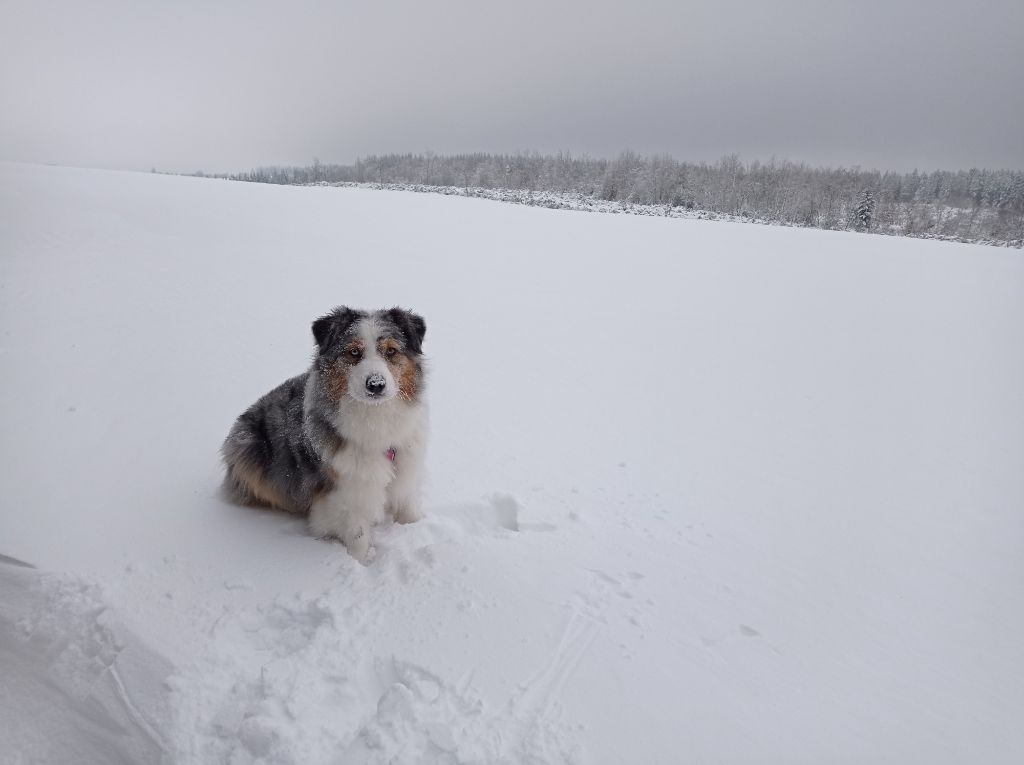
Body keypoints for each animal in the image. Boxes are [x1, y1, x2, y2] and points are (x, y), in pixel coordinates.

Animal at [224, 307, 428, 561]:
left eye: (391, 351)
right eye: (354, 352)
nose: (376, 384)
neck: (375, 418)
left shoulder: (405, 464)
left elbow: (408, 508)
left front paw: (416, 528)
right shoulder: (345, 491)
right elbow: (358, 534)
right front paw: (363, 561)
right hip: (248, 448)